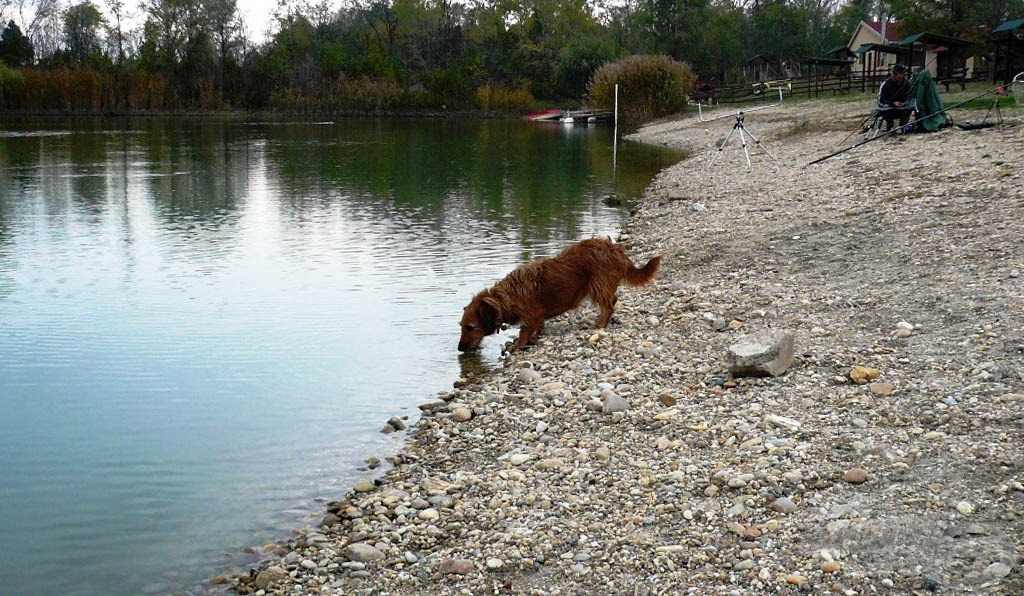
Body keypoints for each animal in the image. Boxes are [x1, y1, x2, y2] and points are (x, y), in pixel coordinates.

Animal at [458, 235, 663, 352]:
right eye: (461, 326)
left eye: (470, 327)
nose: (460, 349)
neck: (506, 297)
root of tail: (616, 249)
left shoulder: (532, 316)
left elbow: (525, 330)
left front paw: (517, 344)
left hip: (598, 285)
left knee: (609, 305)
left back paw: (600, 324)